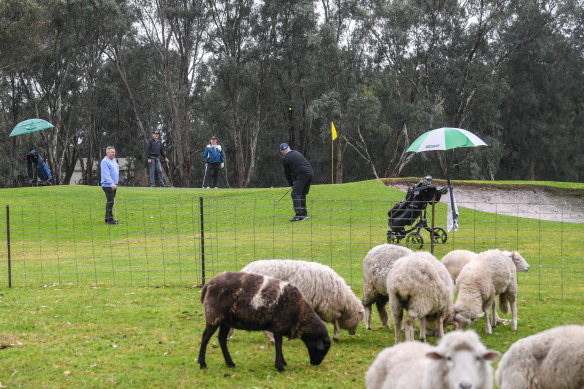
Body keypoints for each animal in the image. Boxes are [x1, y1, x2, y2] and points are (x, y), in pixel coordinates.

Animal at [197, 272, 330, 372]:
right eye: (323, 349)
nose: (315, 364)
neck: (299, 312)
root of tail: (208, 285)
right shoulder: (279, 325)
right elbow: (279, 345)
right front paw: (280, 367)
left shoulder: (278, 327)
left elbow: (278, 345)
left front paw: (283, 363)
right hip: (214, 315)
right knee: (205, 337)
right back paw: (202, 364)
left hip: (225, 320)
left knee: (221, 338)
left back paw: (230, 363)